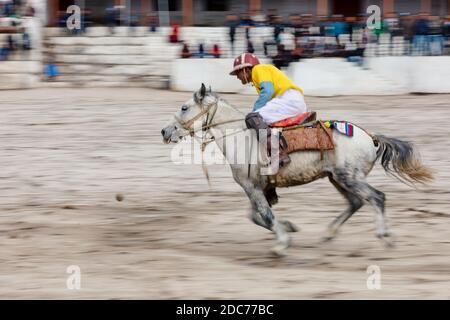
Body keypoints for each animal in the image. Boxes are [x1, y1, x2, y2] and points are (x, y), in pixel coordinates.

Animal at [161, 84, 432, 256]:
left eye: (184, 107)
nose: (164, 131)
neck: (240, 136)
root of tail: (371, 137)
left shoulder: (251, 187)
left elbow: (265, 216)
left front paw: (282, 243)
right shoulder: (258, 187)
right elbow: (257, 216)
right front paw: (289, 227)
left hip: (350, 177)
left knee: (377, 197)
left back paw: (384, 235)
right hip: (337, 178)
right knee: (356, 202)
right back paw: (329, 233)